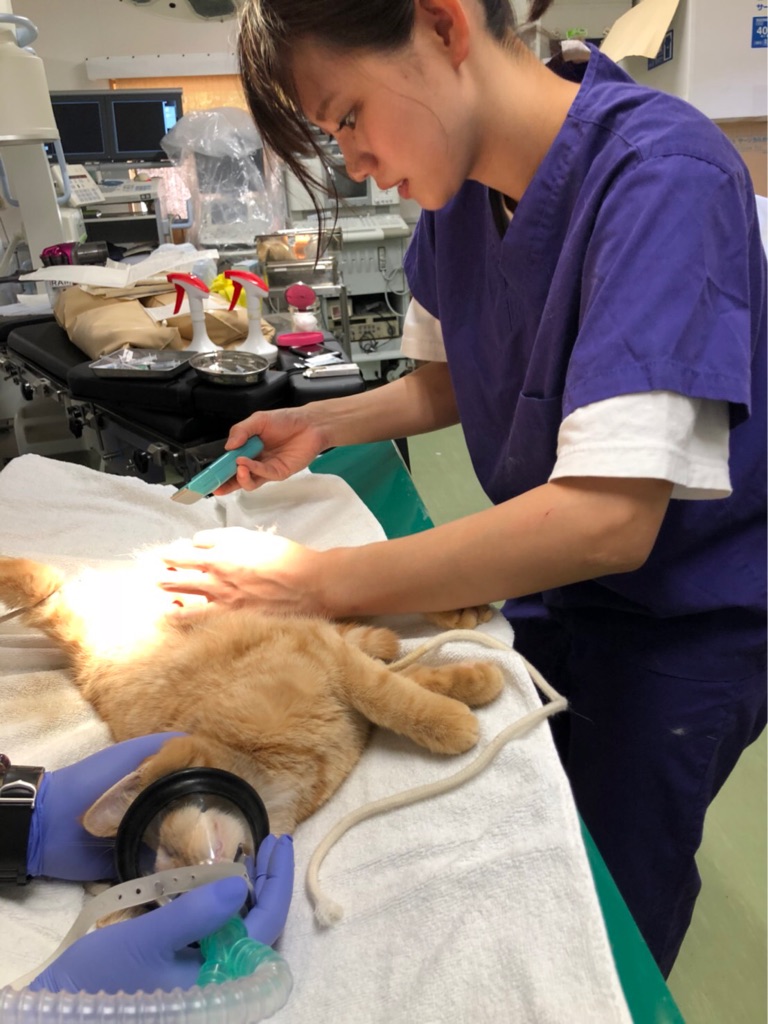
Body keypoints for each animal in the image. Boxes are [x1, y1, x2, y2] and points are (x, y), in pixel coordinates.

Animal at [0, 552, 503, 871]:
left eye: (170, 844)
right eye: (165, 864)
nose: (203, 873)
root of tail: (80, 651)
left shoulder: (326, 659)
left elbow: (395, 695)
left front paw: (453, 716)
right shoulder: (338, 675)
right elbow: (404, 681)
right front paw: (471, 683)